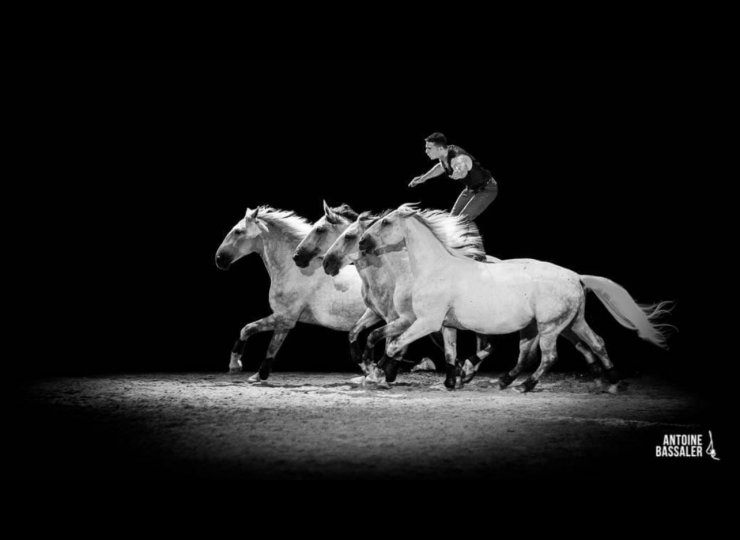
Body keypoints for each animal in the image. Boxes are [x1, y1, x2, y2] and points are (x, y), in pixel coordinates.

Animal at [214, 205, 368, 382]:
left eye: (238, 231)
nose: (219, 259)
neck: (295, 271)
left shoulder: (286, 317)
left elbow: (247, 329)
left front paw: (235, 365)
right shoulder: (284, 320)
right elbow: (272, 348)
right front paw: (259, 375)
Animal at [358, 205, 676, 390]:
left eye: (385, 222)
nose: (361, 242)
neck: (436, 267)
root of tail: (576, 276)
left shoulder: (425, 322)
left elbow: (394, 343)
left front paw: (375, 373)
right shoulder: (444, 325)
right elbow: (447, 353)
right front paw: (451, 381)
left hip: (550, 327)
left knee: (548, 356)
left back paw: (525, 385)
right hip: (571, 322)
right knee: (595, 343)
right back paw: (611, 380)